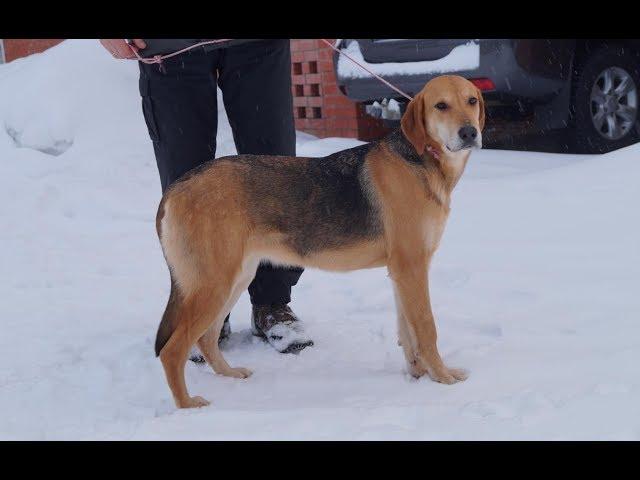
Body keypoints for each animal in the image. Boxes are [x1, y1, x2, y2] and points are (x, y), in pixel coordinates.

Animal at [156, 75, 484, 408]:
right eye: (441, 105)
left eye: (471, 101)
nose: (470, 132)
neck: (423, 158)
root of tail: (177, 187)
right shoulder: (412, 268)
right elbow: (427, 329)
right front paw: (442, 377)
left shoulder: (402, 273)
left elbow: (408, 333)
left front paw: (419, 375)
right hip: (213, 284)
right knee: (173, 350)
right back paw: (188, 405)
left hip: (234, 279)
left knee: (206, 339)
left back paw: (230, 375)